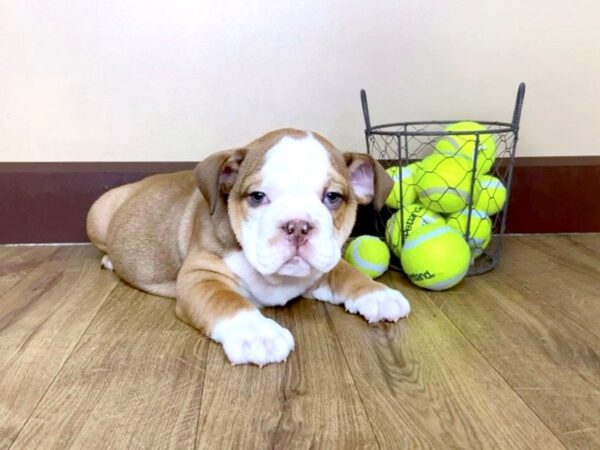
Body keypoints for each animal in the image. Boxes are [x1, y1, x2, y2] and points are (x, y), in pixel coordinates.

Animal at [86, 129, 410, 366]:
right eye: (257, 196)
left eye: (332, 197)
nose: (297, 225)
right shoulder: (201, 277)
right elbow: (227, 301)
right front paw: (258, 334)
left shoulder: (324, 264)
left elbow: (347, 272)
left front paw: (377, 293)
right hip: (98, 213)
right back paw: (110, 260)